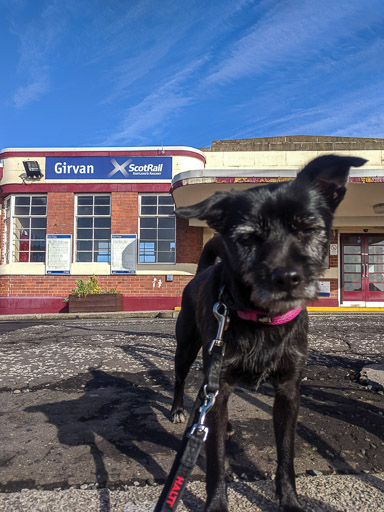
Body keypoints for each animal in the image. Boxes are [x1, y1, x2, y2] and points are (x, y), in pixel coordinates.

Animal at [170, 155, 366, 512]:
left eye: (308, 228)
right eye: (248, 237)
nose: (286, 277)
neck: (263, 319)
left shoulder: (288, 392)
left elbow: (285, 454)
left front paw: (289, 501)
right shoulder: (219, 375)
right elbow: (216, 459)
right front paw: (216, 504)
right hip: (187, 347)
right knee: (181, 381)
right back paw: (179, 411)